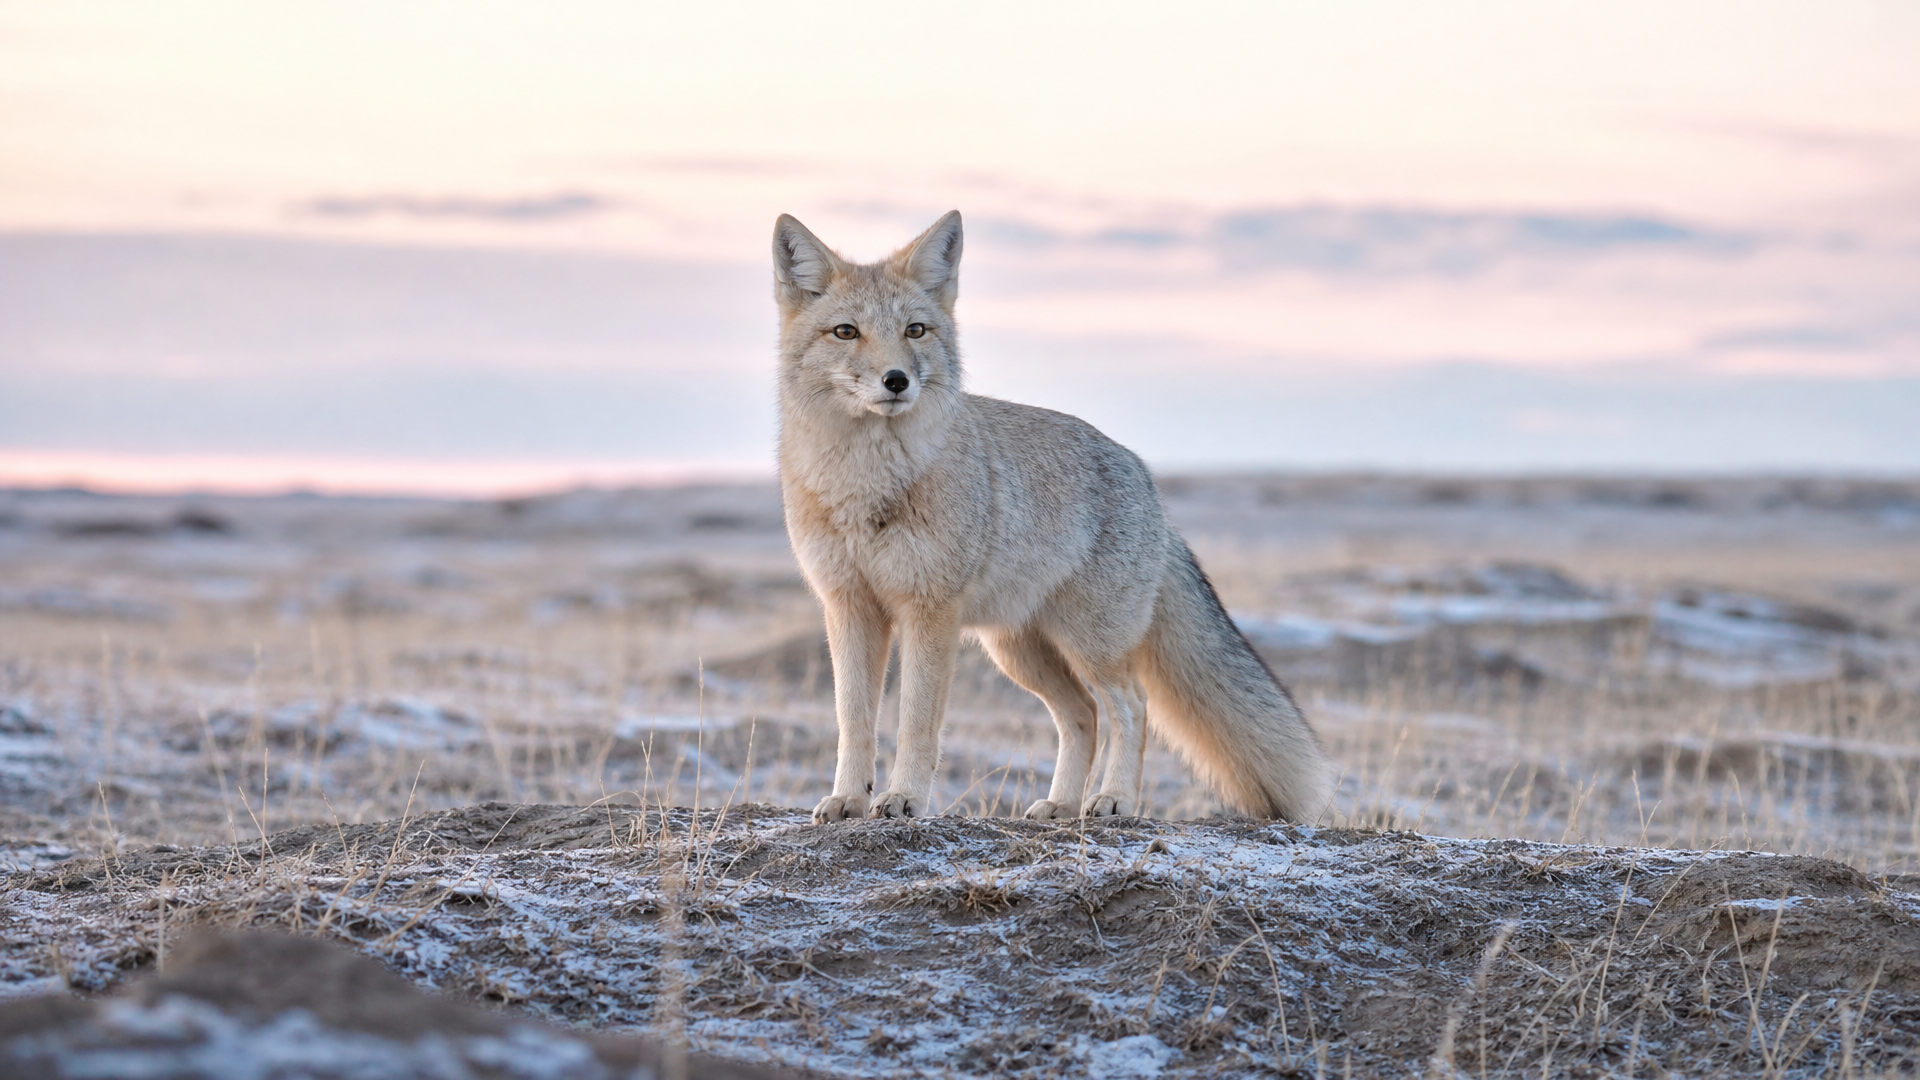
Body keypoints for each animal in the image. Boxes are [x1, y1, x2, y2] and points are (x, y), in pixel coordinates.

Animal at [773, 210, 1333, 823]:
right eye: (846, 332)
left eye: (915, 331)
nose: (896, 380)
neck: (865, 486)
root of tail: (1144, 475)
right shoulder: (849, 606)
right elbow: (853, 721)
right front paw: (849, 798)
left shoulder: (929, 611)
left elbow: (917, 722)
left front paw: (904, 798)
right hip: (1020, 653)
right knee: (1083, 713)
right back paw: (1061, 804)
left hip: (1089, 644)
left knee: (1131, 706)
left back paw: (1114, 799)